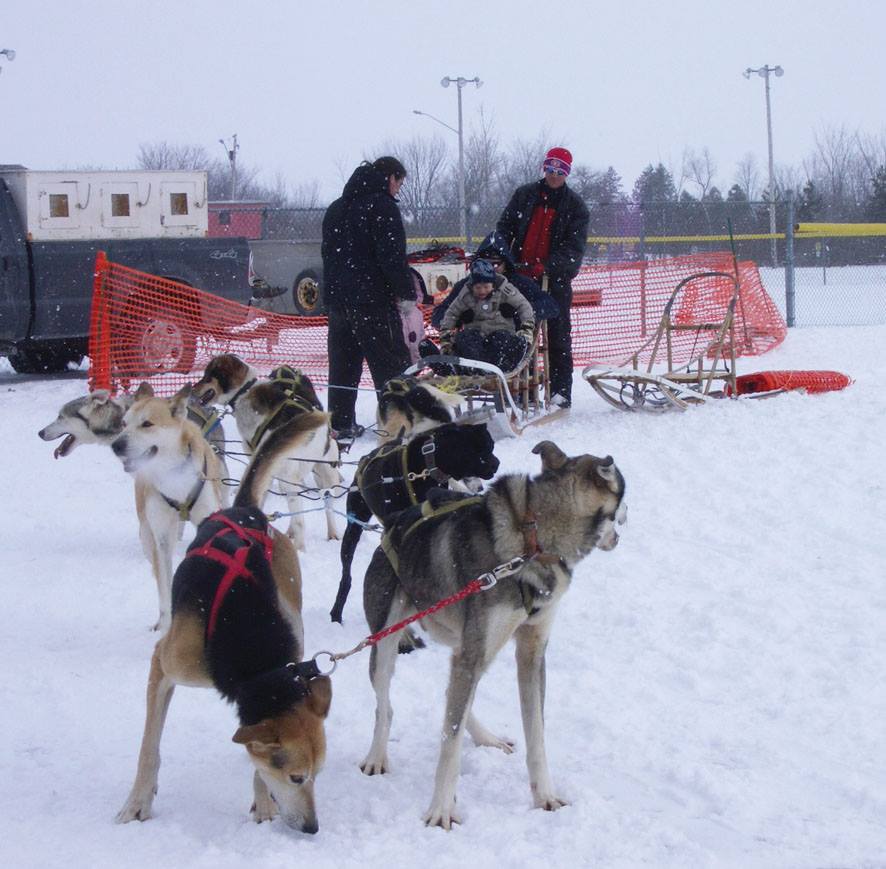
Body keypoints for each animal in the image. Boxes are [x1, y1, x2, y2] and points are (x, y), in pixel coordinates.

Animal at [114, 414, 330, 836]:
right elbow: (150, 748)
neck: (246, 637)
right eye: (297, 777)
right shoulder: (164, 664)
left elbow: (255, 759)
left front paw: (263, 800)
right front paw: (138, 801)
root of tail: (245, 511)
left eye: (319, 774)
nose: (313, 827)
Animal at [332, 418, 500, 620]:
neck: (424, 469)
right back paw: (336, 611)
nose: (497, 463)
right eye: (485, 447)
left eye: (491, 445)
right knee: (346, 574)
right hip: (354, 525)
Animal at [358, 440, 628, 828]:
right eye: (622, 506)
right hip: (387, 643)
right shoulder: (471, 654)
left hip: (472, 647)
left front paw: (544, 796)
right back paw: (377, 756)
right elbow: (450, 742)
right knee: (386, 706)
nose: (619, 536)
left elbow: (535, 734)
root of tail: (394, 525)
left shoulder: (529, 653)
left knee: (454, 697)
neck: (533, 542)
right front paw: (441, 809)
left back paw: (486, 737)